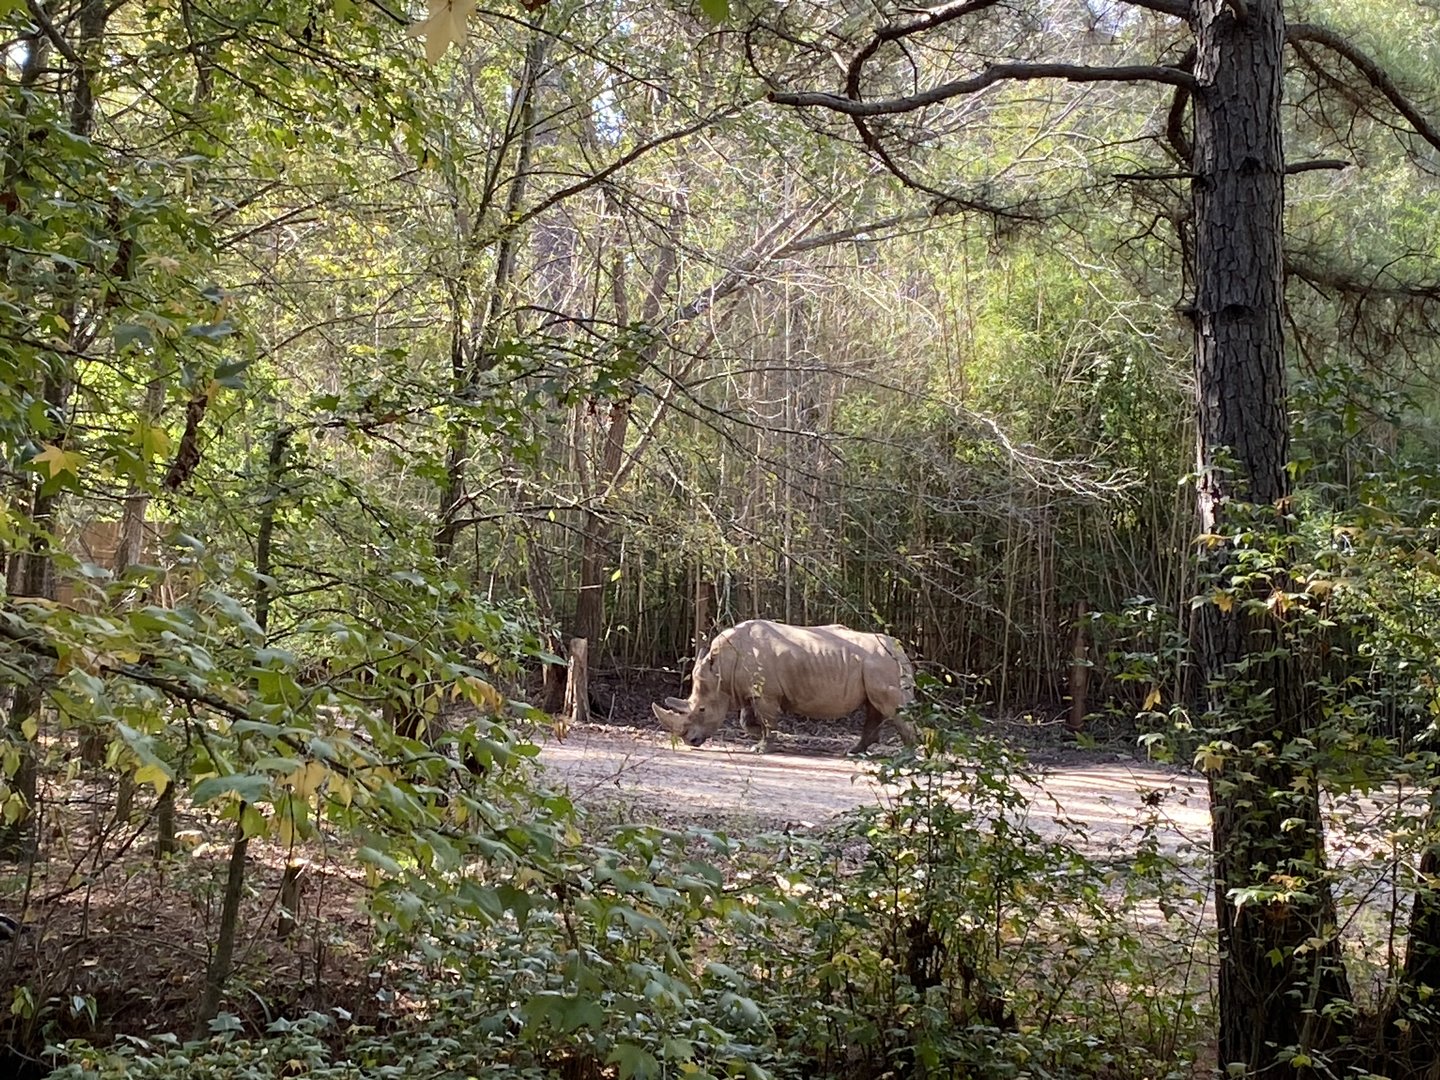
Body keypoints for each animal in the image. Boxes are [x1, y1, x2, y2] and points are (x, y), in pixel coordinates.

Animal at [652, 620, 917, 754]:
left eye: (702, 710)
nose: (690, 741)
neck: (720, 672)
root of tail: (899, 649)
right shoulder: (750, 690)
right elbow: (746, 720)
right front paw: (761, 737)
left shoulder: (765, 694)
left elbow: (768, 719)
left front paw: (762, 747)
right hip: (876, 664)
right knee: (875, 707)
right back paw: (854, 751)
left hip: (881, 663)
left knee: (891, 707)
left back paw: (909, 756)